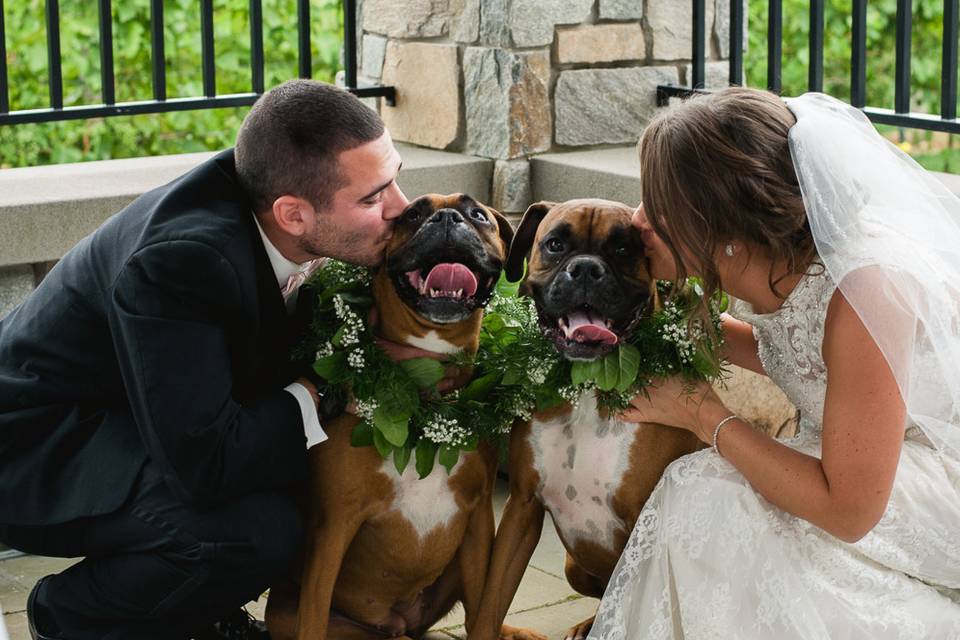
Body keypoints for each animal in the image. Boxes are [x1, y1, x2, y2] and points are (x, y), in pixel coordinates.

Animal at [264, 194, 532, 640]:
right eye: (412, 215)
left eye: (478, 215)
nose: (447, 217)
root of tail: (398, 621)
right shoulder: (333, 528)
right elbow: (313, 616)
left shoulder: (478, 522)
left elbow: (484, 609)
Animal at [472, 200, 704, 640]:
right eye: (555, 244)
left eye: (624, 249)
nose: (584, 269)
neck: (586, 388)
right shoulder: (522, 509)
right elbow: (489, 603)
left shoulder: (640, 527)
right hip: (573, 566)